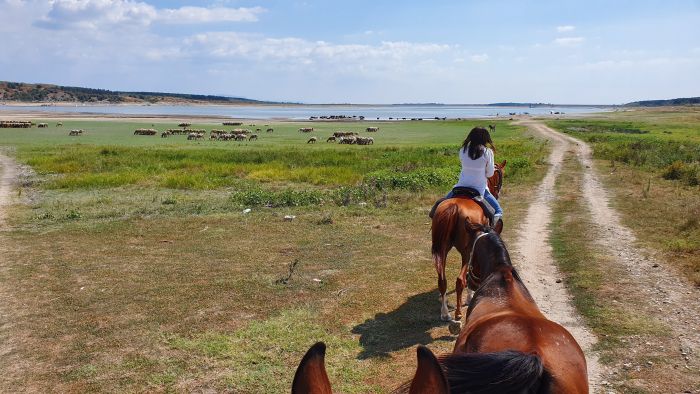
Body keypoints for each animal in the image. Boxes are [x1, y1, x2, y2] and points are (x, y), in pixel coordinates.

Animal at [430, 159, 506, 324]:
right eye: (499, 175)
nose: (497, 192)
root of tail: (454, 207)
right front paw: (470, 296)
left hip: (442, 249)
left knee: (442, 281)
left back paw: (445, 313)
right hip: (466, 251)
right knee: (460, 280)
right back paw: (458, 314)